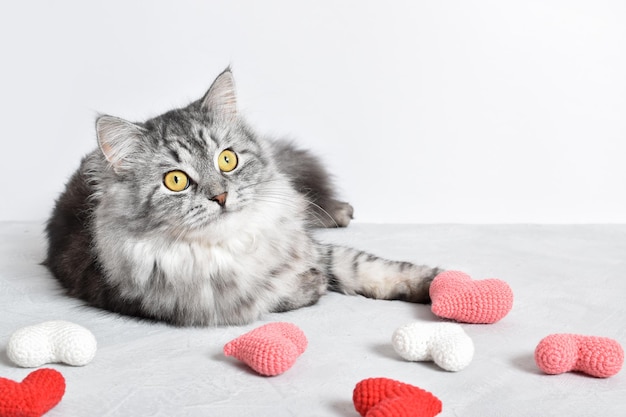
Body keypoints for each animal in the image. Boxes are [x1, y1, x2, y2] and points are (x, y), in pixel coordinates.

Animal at [44, 68, 438, 324]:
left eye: (227, 159)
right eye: (176, 180)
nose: (219, 196)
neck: (233, 247)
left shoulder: (309, 247)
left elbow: (371, 266)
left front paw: (437, 283)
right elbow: (283, 294)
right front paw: (314, 284)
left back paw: (340, 211)